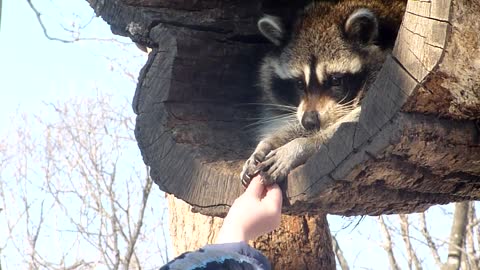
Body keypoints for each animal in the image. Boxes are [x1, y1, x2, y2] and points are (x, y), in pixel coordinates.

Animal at [242, 0, 406, 187]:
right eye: (299, 83)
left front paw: (300, 145)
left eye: (335, 80)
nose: (309, 121)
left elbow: (347, 124)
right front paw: (269, 142)